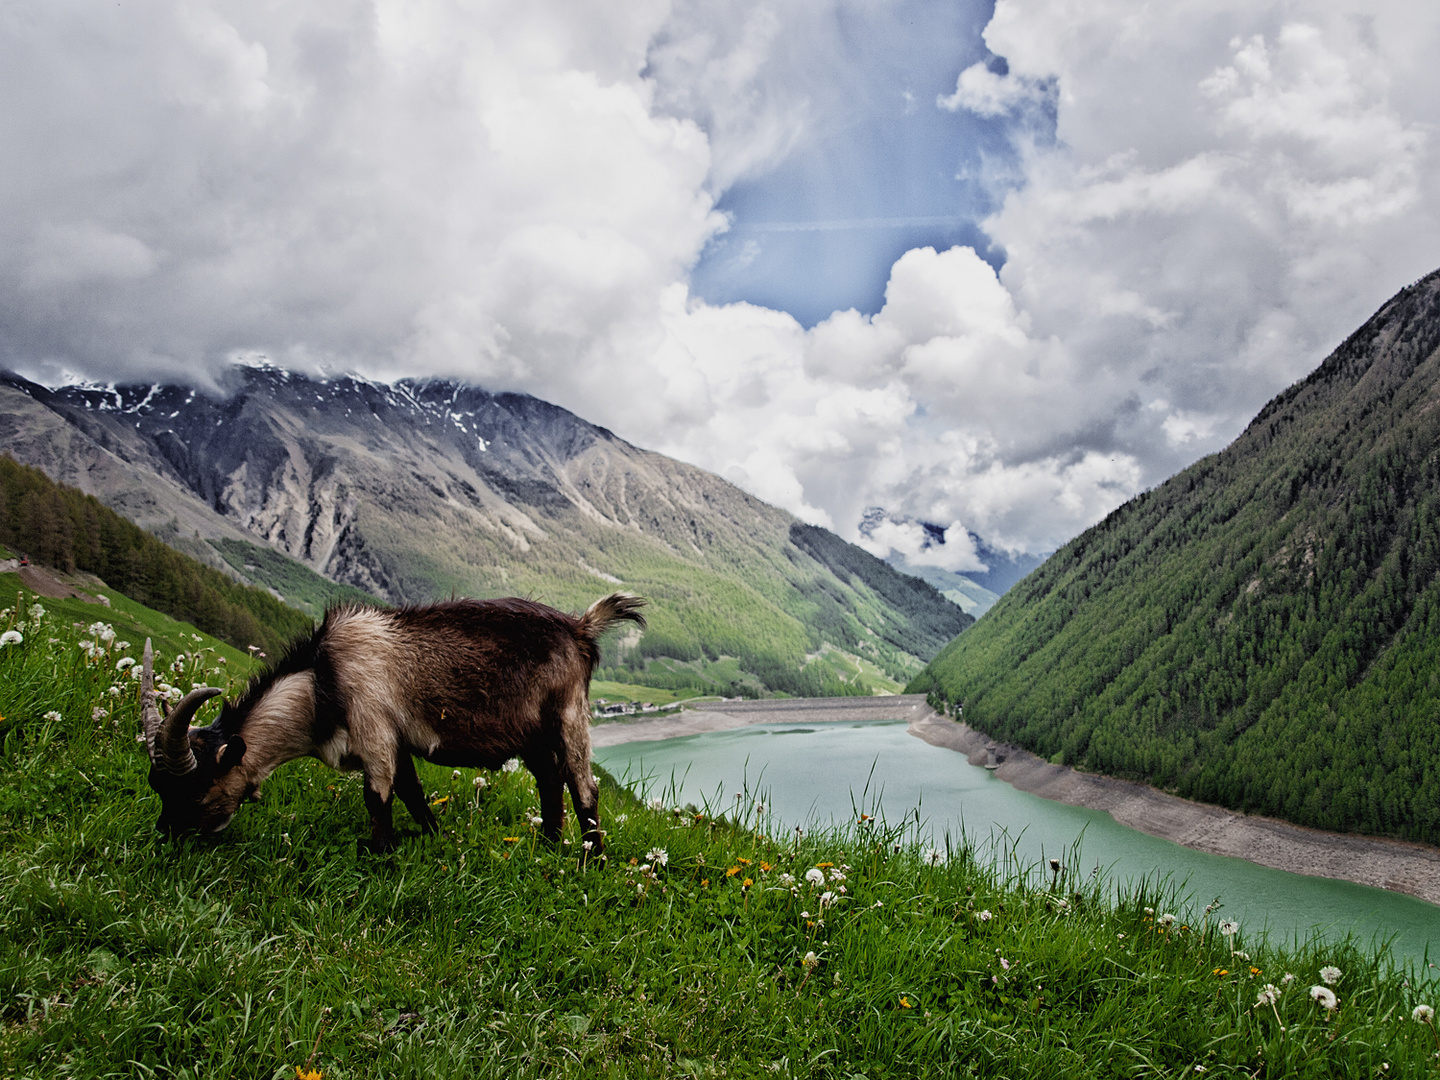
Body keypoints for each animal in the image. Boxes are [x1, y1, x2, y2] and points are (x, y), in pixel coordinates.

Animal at [140, 593, 648, 852]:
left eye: (196, 790)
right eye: (156, 786)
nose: (165, 835)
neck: (321, 682)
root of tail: (581, 628)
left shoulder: (374, 730)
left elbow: (378, 795)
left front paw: (381, 854)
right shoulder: (395, 740)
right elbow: (411, 791)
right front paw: (432, 837)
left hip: (568, 714)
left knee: (583, 785)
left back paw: (591, 859)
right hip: (533, 733)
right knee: (548, 779)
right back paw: (548, 844)